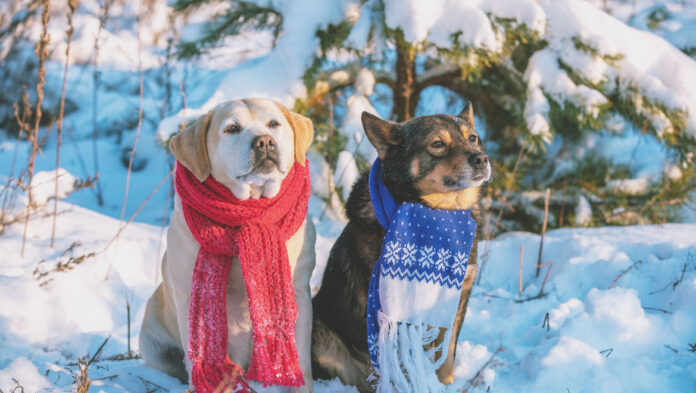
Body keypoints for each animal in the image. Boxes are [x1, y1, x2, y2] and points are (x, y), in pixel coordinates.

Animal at [310, 102, 490, 390]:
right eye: (437, 144)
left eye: (472, 138)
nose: (482, 159)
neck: (437, 217)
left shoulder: (454, 302)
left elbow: (445, 363)